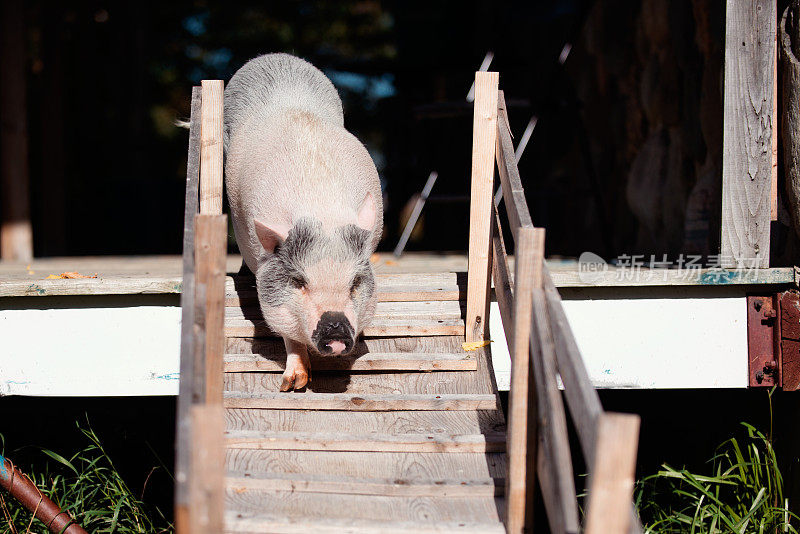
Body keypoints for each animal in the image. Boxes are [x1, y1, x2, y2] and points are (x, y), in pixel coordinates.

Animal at [222, 52, 384, 392]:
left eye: (355, 282)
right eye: (299, 282)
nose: (336, 335)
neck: (321, 211)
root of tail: (276, 57)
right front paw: (292, 385)